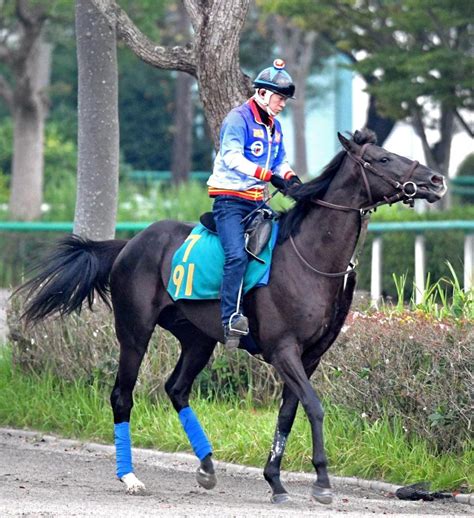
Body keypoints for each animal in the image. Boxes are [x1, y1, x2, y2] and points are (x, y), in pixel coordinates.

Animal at [17, 131, 444, 508]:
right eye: (383, 158)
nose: (436, 181)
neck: (309, 257)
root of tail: (129, 243)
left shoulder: (309, 356)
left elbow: (289, 412)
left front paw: (276, 481)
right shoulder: (283, 350)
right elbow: (314, 406)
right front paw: (322, 482)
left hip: (198, 338)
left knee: (177, 388)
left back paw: (207, 466)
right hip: (134, 332)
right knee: (123, 395)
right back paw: (130, 477)